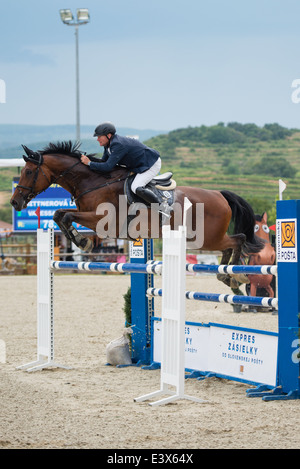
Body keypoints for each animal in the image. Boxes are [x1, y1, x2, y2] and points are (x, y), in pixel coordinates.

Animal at [9, 141, 264, 284]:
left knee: (237, 239)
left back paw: (235, 274)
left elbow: (67, 216)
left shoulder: (104, 220)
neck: (93, 181)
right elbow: (59, 214)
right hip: (206, 238)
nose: (14, 202)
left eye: (29, 172)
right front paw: (81, 240)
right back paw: (225, 274)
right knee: (230, 244)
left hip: (207, 237)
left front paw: (83, 241)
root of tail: (220, 195)